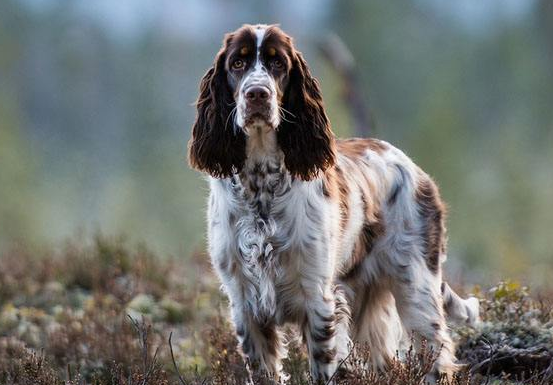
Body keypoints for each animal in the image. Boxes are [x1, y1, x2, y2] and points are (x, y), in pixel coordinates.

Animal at [187, 23, 478, 380]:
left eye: (278, 63)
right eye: (237, 63)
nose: (257, 94)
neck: (261, 188)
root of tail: (418, 171)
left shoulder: (319, 301)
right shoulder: (246, 306)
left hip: (417, 290)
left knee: (437, 353)